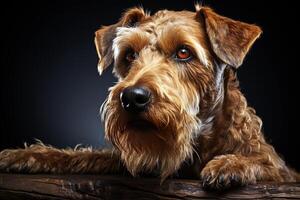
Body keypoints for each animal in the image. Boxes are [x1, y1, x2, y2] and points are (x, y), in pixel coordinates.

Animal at [0, 4, 298, 189]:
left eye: (184, 52)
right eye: (130, 54)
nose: (132, 97)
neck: (199, 142)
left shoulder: (283, 171)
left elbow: (266, 163)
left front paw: (230, 164)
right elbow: (80, 155)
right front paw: (23, 155)